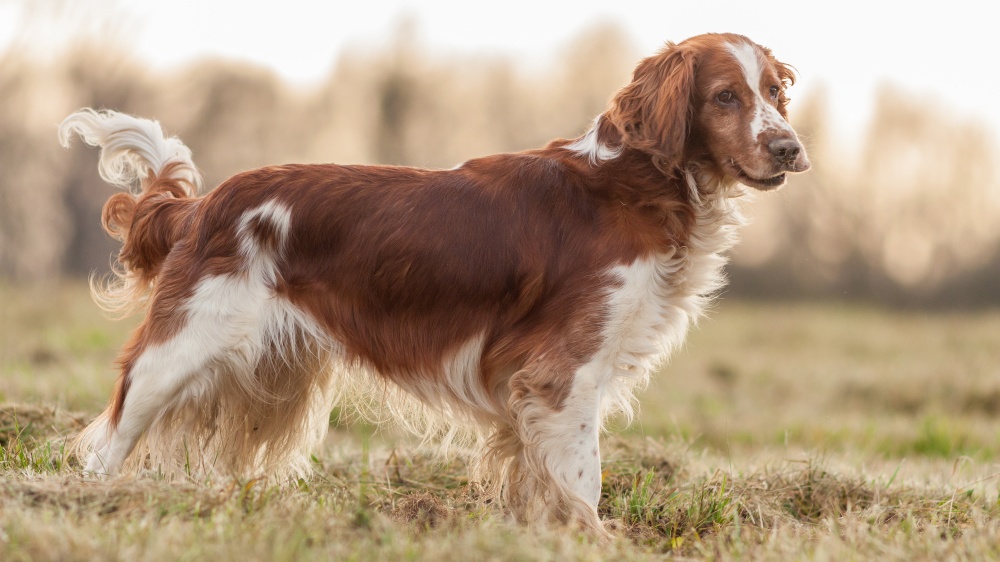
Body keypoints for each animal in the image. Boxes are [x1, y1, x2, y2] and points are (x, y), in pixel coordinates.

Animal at [60, 32, 812, 532]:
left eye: (774, 93)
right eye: (724, 97)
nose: (790, 149)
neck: (634, 182)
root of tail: (202, 205)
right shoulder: (562, 373)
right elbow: (582, 480)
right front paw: (591, 539)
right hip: (181, 348)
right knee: (106, 442)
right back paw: (87, 504)